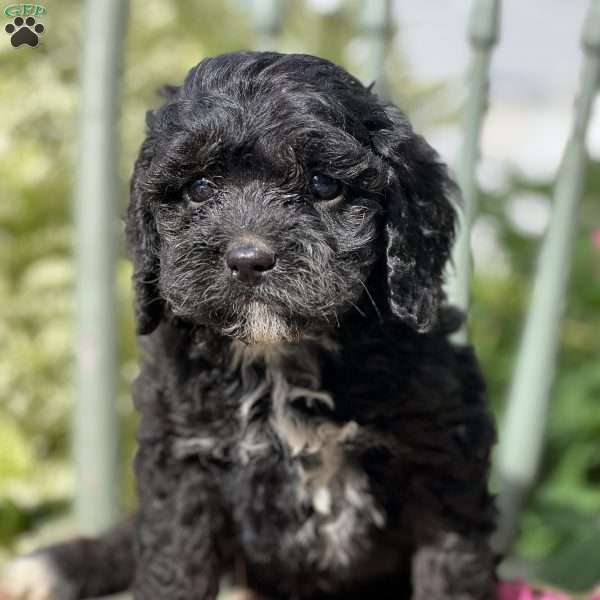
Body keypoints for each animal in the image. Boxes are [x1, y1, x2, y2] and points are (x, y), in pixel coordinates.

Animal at [1, 51, 496, 600]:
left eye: (324, 185)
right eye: (198, 188)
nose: (248, 259)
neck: (278, 357)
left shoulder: (442, 454)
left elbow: (452, 567)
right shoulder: (182, 459)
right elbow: (172, 563)